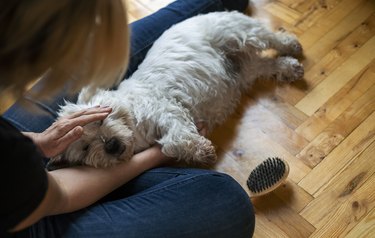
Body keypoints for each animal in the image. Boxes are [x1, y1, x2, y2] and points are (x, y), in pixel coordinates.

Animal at [47, 11, 306, 169]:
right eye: (84, 148)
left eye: (100, 120)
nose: (111, 146)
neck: (136, 127)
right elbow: (171, 144)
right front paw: (200, 151)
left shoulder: (167, 109)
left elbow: (178, 136)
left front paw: (202, 149)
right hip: (245, 70)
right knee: (264, 65)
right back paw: (289, 67)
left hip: (237, 34)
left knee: (270, 38)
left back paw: (292, 44)